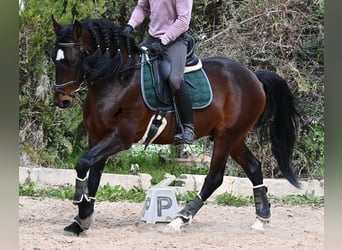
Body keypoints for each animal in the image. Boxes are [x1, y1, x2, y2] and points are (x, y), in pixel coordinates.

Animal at [50, 16, 300, 235]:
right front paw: (81, 220)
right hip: (234, 138)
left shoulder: (121, 137)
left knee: (214, 178)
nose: (62, 100)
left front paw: (81, 208)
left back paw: (180, 219)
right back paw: (261, 218)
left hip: (226, 137)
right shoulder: (97, 136)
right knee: (254, 167)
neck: (117, 78)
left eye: (72, 59)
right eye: (54, 58)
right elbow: (93, 175)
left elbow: (83, 163)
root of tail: (253, 76)